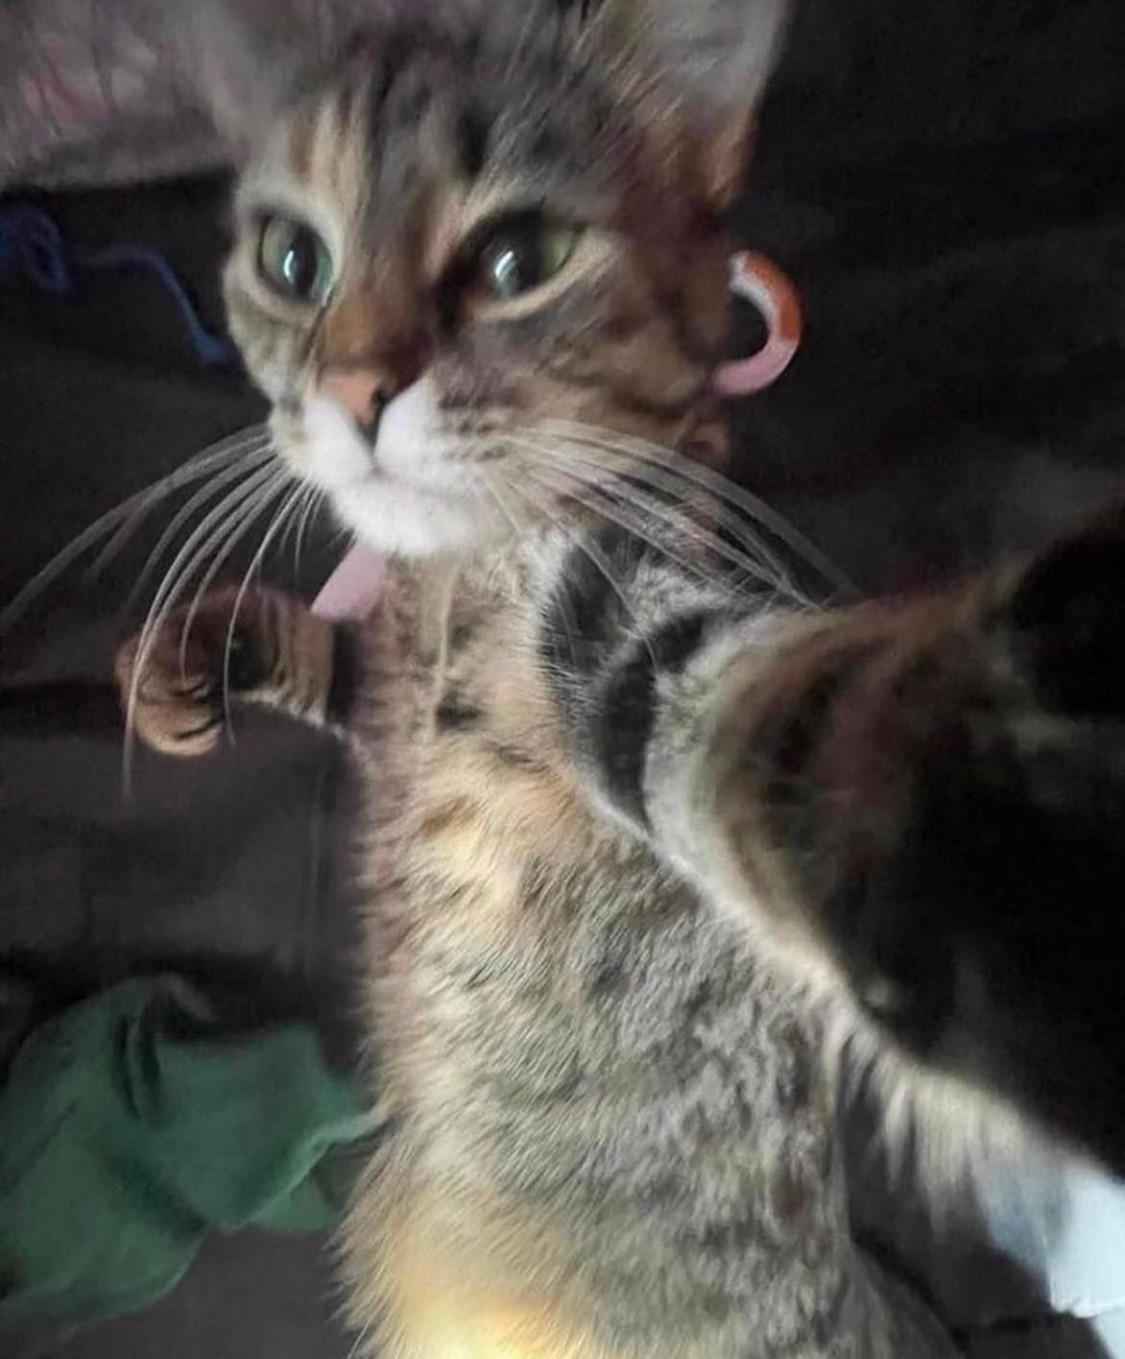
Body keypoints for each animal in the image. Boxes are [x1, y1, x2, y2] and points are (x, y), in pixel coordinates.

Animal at [112, 1, 1125, 1356]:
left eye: (517, 259)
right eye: (290, 259)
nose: (354, 388)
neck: (451, 574)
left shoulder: (616, 613)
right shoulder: (391, 690)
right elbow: (343, 659)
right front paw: (191, 661)